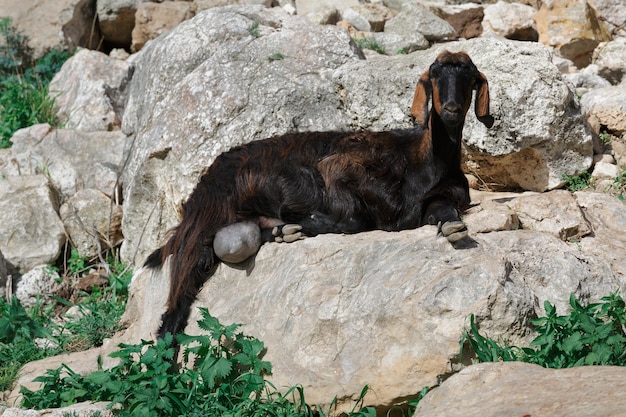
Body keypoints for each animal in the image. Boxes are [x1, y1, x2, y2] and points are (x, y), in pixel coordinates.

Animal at [145, 49, 492, 338]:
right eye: (434, 74)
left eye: (469, 76)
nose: (451, 109)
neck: (422, 161)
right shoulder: (339, 166)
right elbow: (353, 218)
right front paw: (309, 221)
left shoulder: (441, 197)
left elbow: (441, 211)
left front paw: (454, 228)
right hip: (207, 215)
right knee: (180, 290)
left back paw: (281, 231)